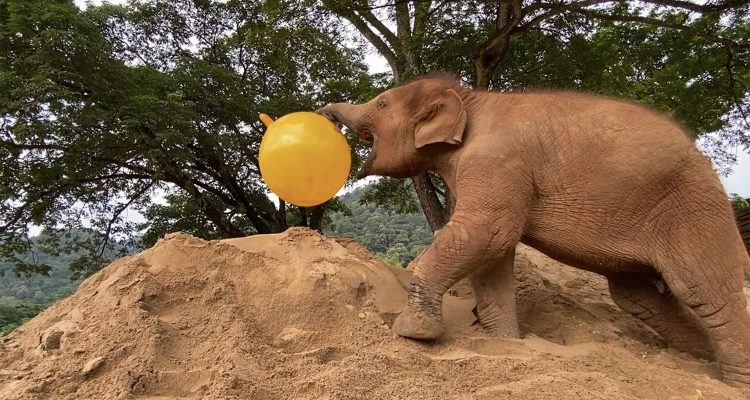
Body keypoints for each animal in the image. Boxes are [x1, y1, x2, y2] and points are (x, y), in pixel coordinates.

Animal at [316, 73, 750, 388]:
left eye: (382, 103)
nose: (323, 114)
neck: (469, 97)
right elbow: (491, 252)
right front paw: (505, 343)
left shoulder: (497, 162)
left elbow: (486, 233)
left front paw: (413, 333)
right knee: (638, 296)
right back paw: (701, 361)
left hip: (692, 210)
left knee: (704, 290)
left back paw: (734, 381)